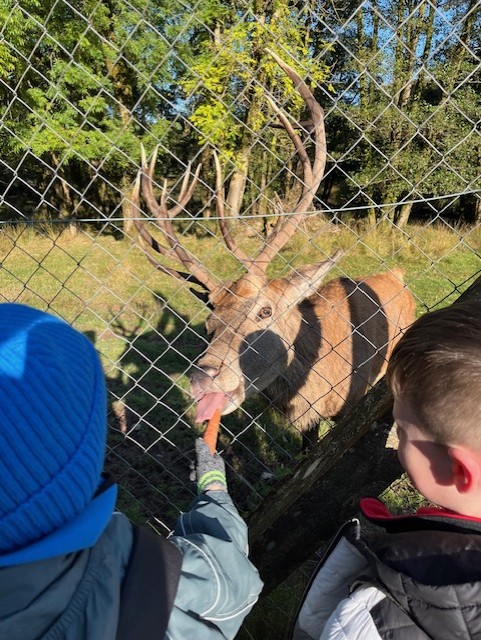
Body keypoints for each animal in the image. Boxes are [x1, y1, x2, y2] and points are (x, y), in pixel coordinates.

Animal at [132, 50, 416, 450]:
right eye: (209, 322)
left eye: (265, 311)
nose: (203, 379)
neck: (316, 390)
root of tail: (398, 275)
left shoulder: (354, 404)